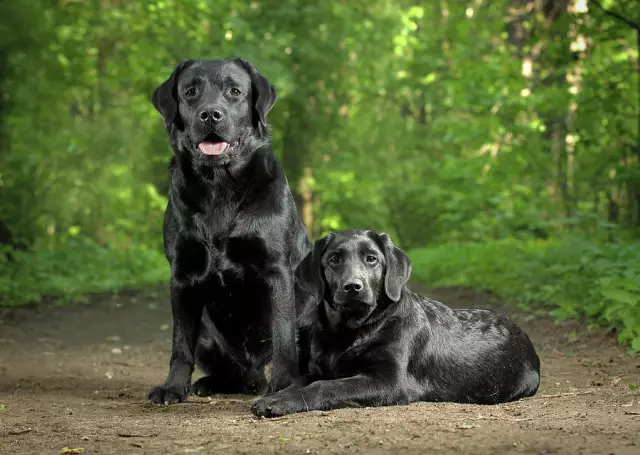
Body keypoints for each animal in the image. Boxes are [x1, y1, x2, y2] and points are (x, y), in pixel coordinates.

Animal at [148, 58, 312, 406]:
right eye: (190, 92)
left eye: (235, 91)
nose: (211, 114)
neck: (219, 187)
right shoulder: (181, 273)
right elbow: (179, 343)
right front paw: (173, 387)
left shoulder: (276, 268)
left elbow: (282, 335)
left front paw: (285, 385)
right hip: (207, 335)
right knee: (233, 373)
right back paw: (210, 382)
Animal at [250, 230, 540, 418]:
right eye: (334, 259)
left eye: (371, 259)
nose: (353, 287)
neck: (351, 330)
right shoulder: (318, 370)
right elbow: (299, 382)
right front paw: (271, 397)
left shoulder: (390, 380)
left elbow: (325, 386)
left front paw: (281, 403)